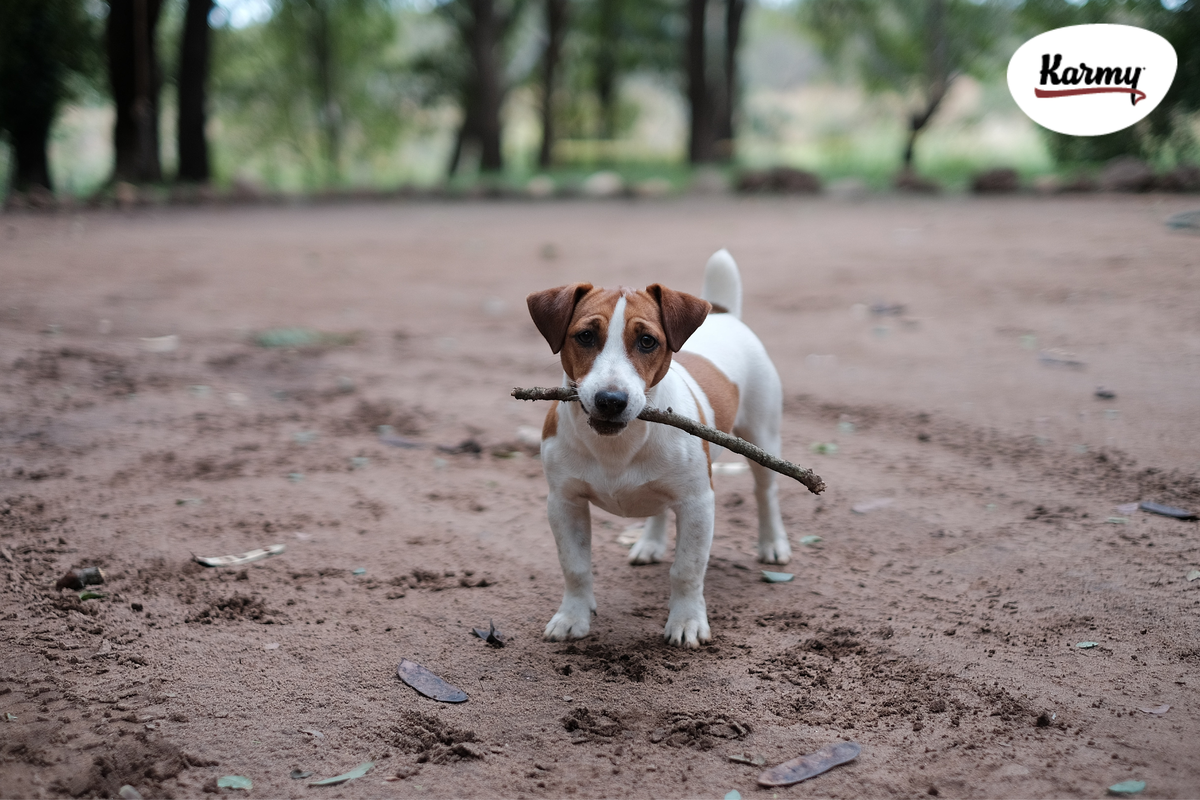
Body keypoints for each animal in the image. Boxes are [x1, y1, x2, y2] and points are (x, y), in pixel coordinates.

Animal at [528, 250, 792, 652]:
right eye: (585, 336)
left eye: (648, 341)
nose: (610, 400)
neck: (617, 446)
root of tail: (723, 313)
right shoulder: (563, 502)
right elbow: (574, 566)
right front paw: (572, 617)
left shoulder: (697, 503)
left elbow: (687, 569)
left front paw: (686, 621)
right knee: (658, 506)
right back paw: (649, 543)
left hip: (762, 438)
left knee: (766, 492)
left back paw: (773, 543)